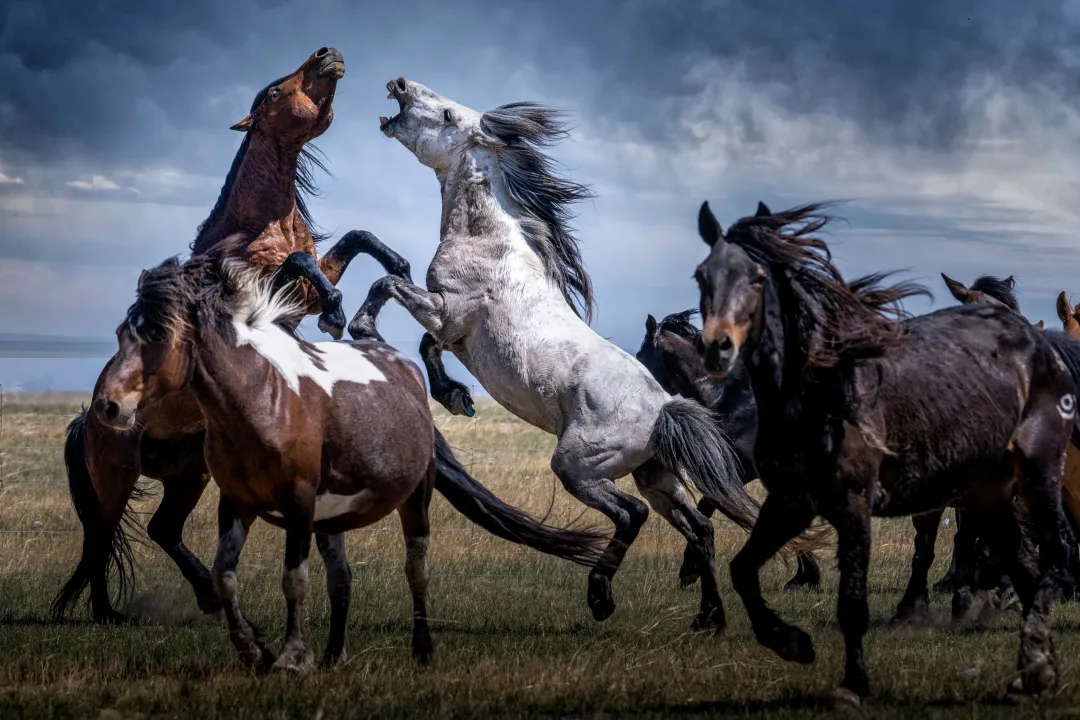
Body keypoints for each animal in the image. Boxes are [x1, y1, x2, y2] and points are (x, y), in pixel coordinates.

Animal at [97, 255, 438, 673]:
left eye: (159, 335)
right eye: (120, 333)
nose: (109, 406)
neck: (264, 397)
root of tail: (400, 362)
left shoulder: (299, 505)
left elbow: (294, 580)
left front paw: (292, 656)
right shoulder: (236, 503)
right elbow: (224, 576)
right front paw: (254, 650)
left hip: (416, 499)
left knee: (416, 571)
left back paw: (422, 650)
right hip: (331, 519)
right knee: (340, 579)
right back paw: (334, 655)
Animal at [345, 78, 760, 630]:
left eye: (449, 114)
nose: (400, 84)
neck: (489, 242)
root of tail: (663, 409)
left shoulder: (446, 310)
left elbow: (387, 285)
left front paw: (361, 326)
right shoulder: (453, 329)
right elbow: (427, 346)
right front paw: (455, 396)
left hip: (580, 466)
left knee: (631, 514)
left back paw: (601, 596)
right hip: (657, 475)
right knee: (699, 528)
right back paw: (708, 616)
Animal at [691, 201, 1080, 703]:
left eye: (758, 278)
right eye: (702, 275)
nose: (716, 346)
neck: (818, 394)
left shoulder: (855, 502)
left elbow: (854, 601)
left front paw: (854, 684)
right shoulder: (791, 502)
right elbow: (743, 569)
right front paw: (791, 640)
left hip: (1036, 477)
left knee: (1052, 551)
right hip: (990, 495)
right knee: (1023, 566)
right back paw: (1034, 669)